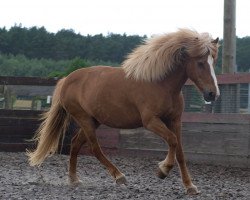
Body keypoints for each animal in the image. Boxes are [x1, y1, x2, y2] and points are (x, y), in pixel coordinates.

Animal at [26, 28, 219, 195]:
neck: (160, 84)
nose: (213, 94)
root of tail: (67, 79)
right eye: (200, 63)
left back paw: (74, 180)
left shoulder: (175, 120)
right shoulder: (151, 121)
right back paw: (119, 176)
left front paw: (190, 186)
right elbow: (172, 141)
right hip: (84, 119)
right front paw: (162, 170)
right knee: (95, 148)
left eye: (213, 62)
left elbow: (179, 151)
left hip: (93, 120)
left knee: (75, 144)